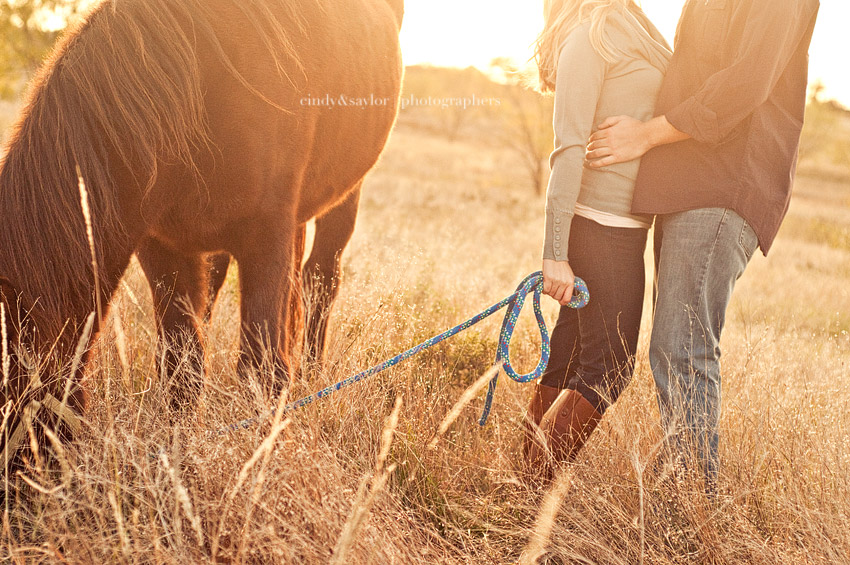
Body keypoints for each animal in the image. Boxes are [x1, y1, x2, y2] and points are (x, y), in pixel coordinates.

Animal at [0, 0, 404, 466]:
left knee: (320, 281)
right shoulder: (161, 245)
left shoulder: (266, 236)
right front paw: (178, 448)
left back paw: (312, 373)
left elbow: (262, 370)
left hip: (343, 196)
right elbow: (183, 366)